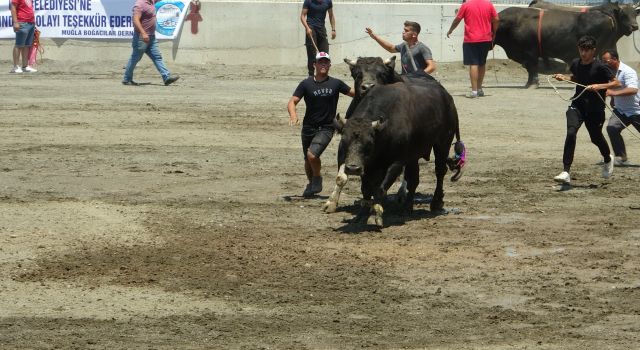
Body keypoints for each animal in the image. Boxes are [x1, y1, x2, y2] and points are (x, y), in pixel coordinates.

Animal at [492, 1, 636, 87]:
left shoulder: (530, 52)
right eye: (624, 15)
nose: (635, 26)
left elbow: (532, 68)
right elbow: (531, 68)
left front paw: (532, 84)